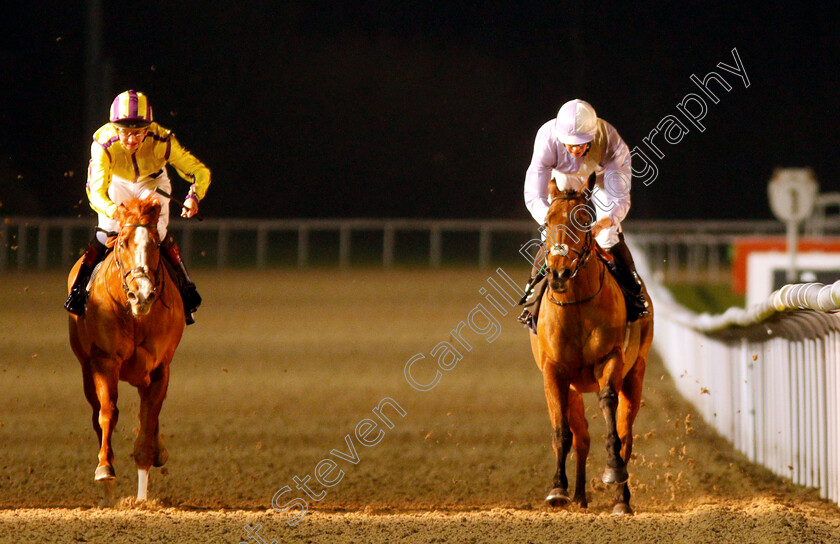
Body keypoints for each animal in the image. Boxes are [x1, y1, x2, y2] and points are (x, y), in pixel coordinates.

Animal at [67, 196, 184, 502]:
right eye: (123, 243)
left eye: (156, 244)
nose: (141, 294)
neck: (134, 316)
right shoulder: (104, 361)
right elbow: (107, 411)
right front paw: (105, 468)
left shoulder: (160, 367)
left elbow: (149, 416)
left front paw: (142, 495)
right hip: (86, 369)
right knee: (96, 413)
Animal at [528, 174, 652, 516]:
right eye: (547, 221)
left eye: (585, 220)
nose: (559, 272)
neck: (577, 305)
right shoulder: (554, 371)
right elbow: (562, 431)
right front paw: (558, 489)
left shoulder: (610, 359)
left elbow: (609, 407)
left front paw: (614, 470)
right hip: (573, 388)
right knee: (580, 437)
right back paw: (580, 495)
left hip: (635, 374)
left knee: (626, 433)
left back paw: (622, 498)